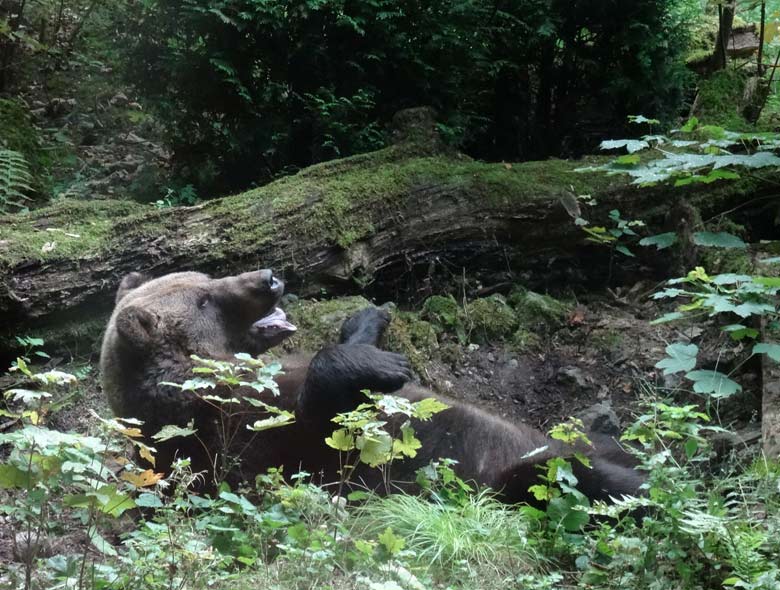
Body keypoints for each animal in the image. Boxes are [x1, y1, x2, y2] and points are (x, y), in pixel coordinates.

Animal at [100, 268, 644, 504]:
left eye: (207, 276)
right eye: (204, 300)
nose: (269, 278)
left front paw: (370, 323)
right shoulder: (238, 432)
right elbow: (322, 426)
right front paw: (386, 362)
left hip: (567, 436)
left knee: (603, 447)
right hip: (514, 475)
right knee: (580, 478)